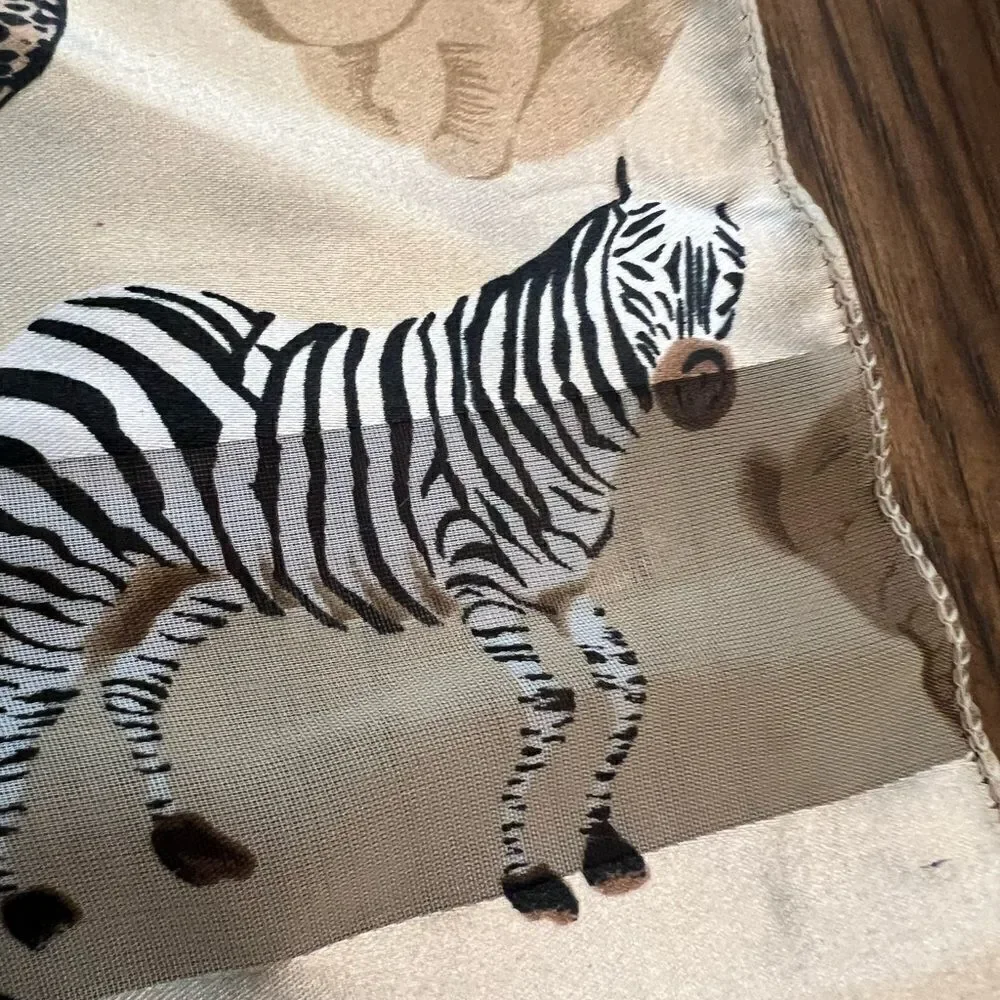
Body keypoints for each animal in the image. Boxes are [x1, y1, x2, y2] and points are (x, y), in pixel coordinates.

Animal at [0, 158, 746, 949]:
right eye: (636, 272)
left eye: (734, 275)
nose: (702, 382)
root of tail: (63, 316)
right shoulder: (481, 585)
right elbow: (552, 703)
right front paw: (527, 877)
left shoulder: (559, 585)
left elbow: (629, 684)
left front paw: (603, 845)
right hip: (59, 569)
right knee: (19, 706)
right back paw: (23, 909)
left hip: (187, 572)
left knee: (131, 679)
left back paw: (185, 843)